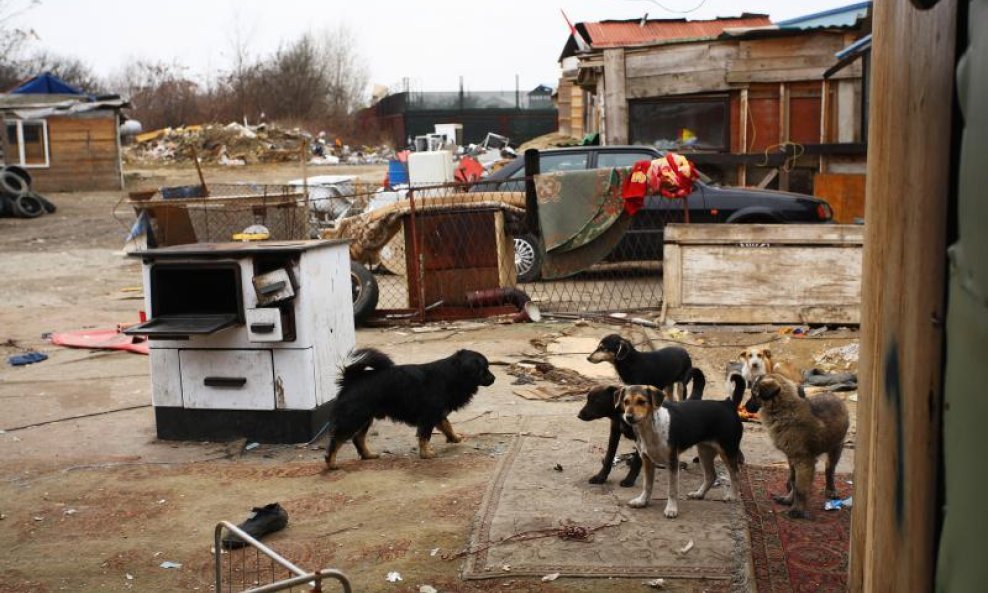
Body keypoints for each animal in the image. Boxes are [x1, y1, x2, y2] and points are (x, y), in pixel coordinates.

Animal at [324, 346, 494, 468]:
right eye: (484, 370)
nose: (494, 378)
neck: (453, 375)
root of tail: (351, 380)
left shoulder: (438, 415)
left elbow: (448, 426)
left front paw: (454, 438)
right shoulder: (428, 417)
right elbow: (425, 437)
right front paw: (426, 454)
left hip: (365, 418)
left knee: (358, 438)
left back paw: (368, 455)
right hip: (353, 418)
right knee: (336, 440)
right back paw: (331, 463)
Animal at [748, 374, 848, 520]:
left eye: (754, 394)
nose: (745, 406)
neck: (783, 410)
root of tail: (831, 394)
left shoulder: (803, 461)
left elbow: (800, 489)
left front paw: (797, 510)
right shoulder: (791, 458)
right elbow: (794, 482)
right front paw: (789, 500)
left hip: (836, 446)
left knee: (829, 470)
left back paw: (831, 489)